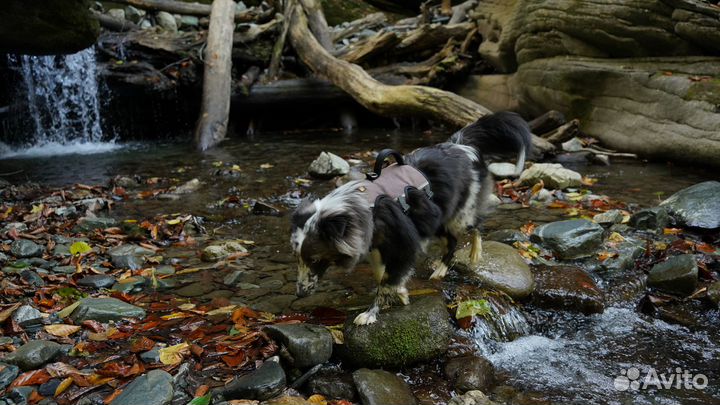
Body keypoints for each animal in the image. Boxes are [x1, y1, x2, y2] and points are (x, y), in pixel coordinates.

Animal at [290, 111, 532, 326]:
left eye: (314, 259)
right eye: (297, 257)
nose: (300, 293)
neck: (364, 209)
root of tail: (461, 145)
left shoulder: (404, 243)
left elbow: (386, 280)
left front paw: (370, 313)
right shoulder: (376, 245)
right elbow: (381, 274)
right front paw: (401, 293)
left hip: (460, 213)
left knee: (475, 227)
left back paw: (473, 253)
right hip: (437, 218)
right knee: (452, 241)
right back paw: (440, 270)